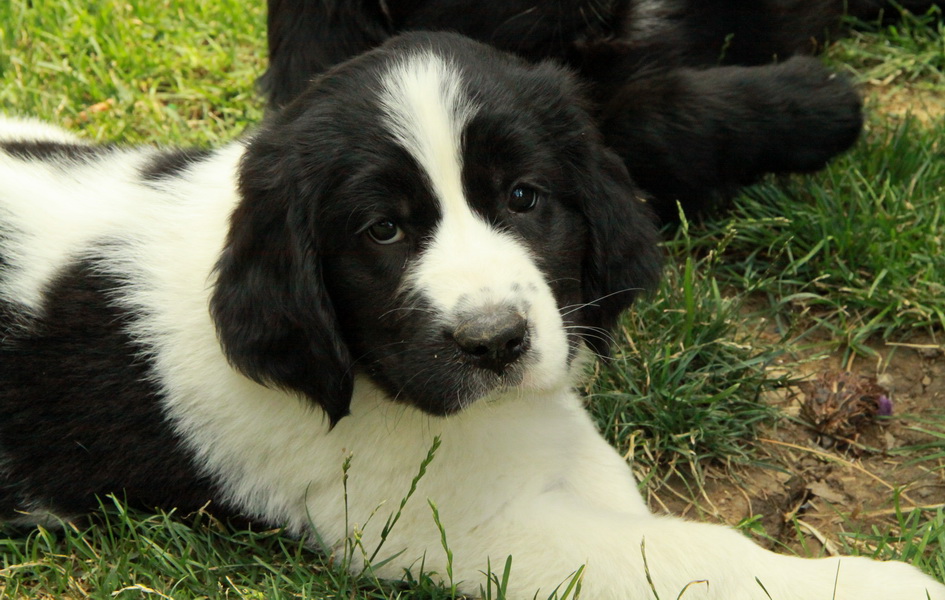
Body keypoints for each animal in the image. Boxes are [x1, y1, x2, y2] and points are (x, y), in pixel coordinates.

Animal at [0, 34, 940, 600]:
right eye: (380, 230)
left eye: (523, 198)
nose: (493, 344)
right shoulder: (447, 525)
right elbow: (677, 550)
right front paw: (877, 585)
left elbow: (626, 502)